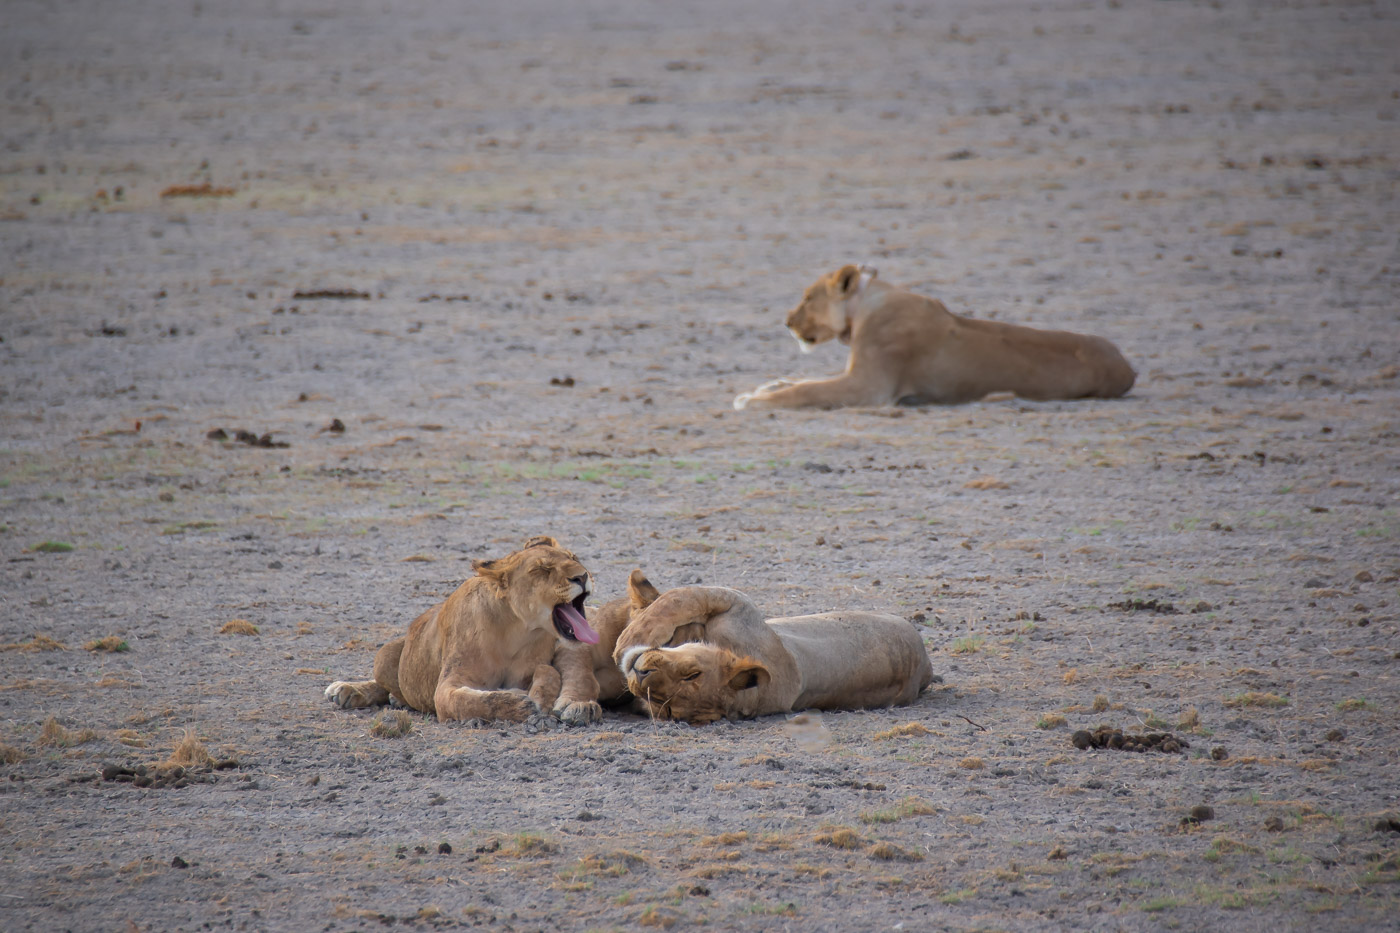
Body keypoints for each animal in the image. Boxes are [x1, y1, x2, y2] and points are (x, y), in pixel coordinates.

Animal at [330, 535, 610, 722]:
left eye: (574, 558)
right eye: (542, 569)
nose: (582, 576)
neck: (516, 631)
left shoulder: (539, 662)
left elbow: (548, 672)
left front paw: (539, 699)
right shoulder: (447, 685)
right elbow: (467, 702)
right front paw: (517, 704)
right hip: (384, 653)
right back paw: (347, 690)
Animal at [610, 577, 929, 722]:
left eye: (692, 675)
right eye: (659, 706)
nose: (640, 674)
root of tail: (926, 668)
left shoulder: (738, 604)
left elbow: (680, 597)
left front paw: (628, 639)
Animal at [733, 261, 1136, 406]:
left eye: (807, 298)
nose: (787, 322)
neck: (865, 306)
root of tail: (1128, 367)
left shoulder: (869, 387)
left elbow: (806, 390)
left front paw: (753, 400)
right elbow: (801, 381)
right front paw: (768, 386)